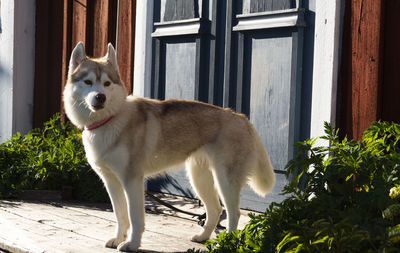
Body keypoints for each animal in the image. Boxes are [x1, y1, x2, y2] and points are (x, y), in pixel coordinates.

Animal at [63, 42, 276, 252]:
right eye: (88, 82)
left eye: (107, 84)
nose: (100, 97)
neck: (110, 119)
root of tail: (239, 116)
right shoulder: (111, 181)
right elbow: (120, 215)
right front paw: (118, 238)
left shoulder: (132, 180)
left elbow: (135, 217)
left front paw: (132, 244)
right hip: (199, 179)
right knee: (215, 210)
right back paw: (203, 237)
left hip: (225, 180)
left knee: (234, 213)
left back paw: (228, 243)